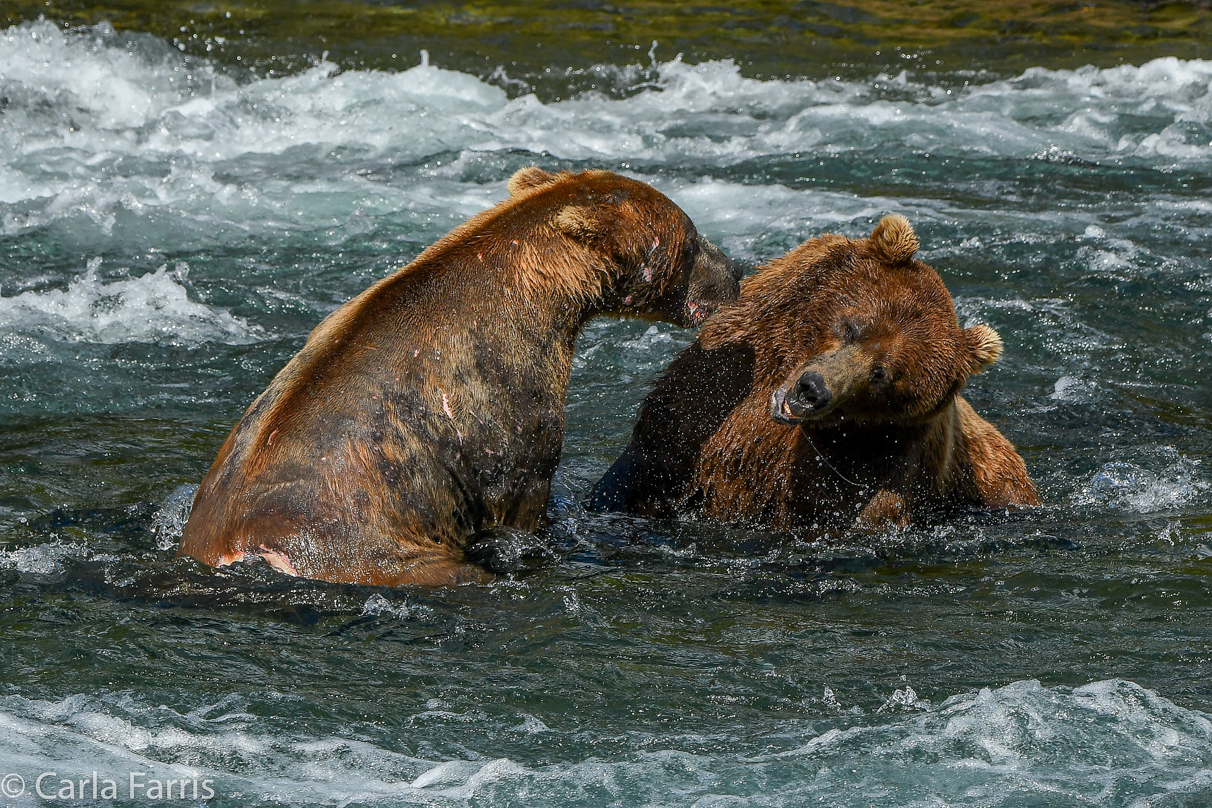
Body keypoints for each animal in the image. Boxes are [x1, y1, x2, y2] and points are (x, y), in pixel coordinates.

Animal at [176, 169, 746, 588]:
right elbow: (521, 487)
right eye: (691, 239)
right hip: (373, 552)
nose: (736, 270)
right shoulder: (502, 391)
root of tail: (232, 549)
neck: (547, 296)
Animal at [591, 211, 1037, 533]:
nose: (813, 388)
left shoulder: (868, 467)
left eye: (883, 374)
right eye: (854, 326)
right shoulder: (710, 392)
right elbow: (650, 460)